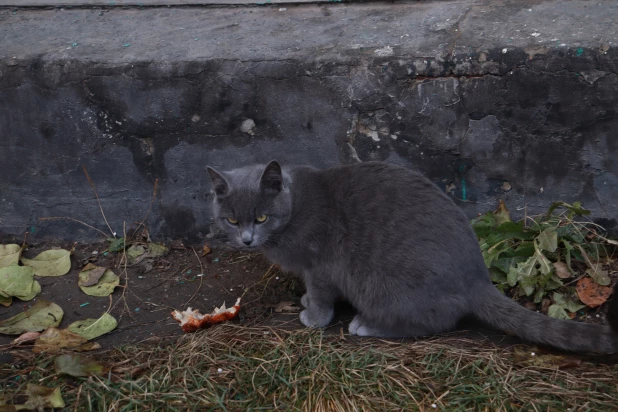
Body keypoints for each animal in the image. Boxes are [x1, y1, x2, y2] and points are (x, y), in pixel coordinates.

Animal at [207, 161, 616, 354]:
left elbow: (322, 294)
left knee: (434, 320)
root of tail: (478, 279)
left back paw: (366, 325)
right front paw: (306, 301)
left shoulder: (319, 265)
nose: (246, 240)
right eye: (232, 220)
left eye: (262, 217)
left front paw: (314, 315)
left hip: (383, 285)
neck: (294, 210)